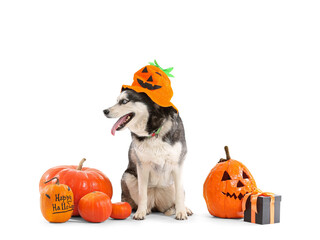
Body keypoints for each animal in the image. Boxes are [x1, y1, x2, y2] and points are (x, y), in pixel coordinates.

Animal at [103, 89, 192, 220]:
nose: (105, 111)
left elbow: (179, 194)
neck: (154, 132)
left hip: (171, 186)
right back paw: (146, 209)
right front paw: (140, 212)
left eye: (124, 101)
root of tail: (156, 203)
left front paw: (181, 212)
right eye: (117, 101)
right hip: (128, 177)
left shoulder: (177, 165)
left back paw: (184, 209)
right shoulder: (142, 167)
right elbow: (142, 194)